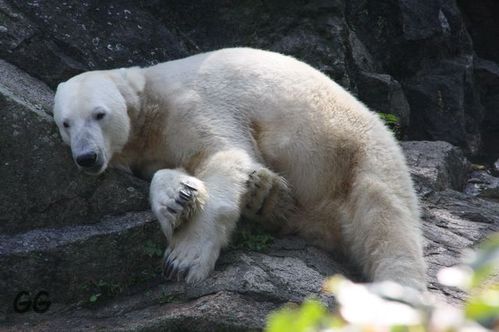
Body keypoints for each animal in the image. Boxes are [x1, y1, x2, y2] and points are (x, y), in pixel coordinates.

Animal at [52, 46, 426, 290]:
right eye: (65, 123)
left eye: (99, 114)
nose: (86, 157)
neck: (149, 104)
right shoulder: (152, 147)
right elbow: (177, 171)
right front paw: (178, 198)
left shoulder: (196, 106)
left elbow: (223, 156)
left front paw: (183, 260)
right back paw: (266, 195)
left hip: (357, 151)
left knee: (385, 221)